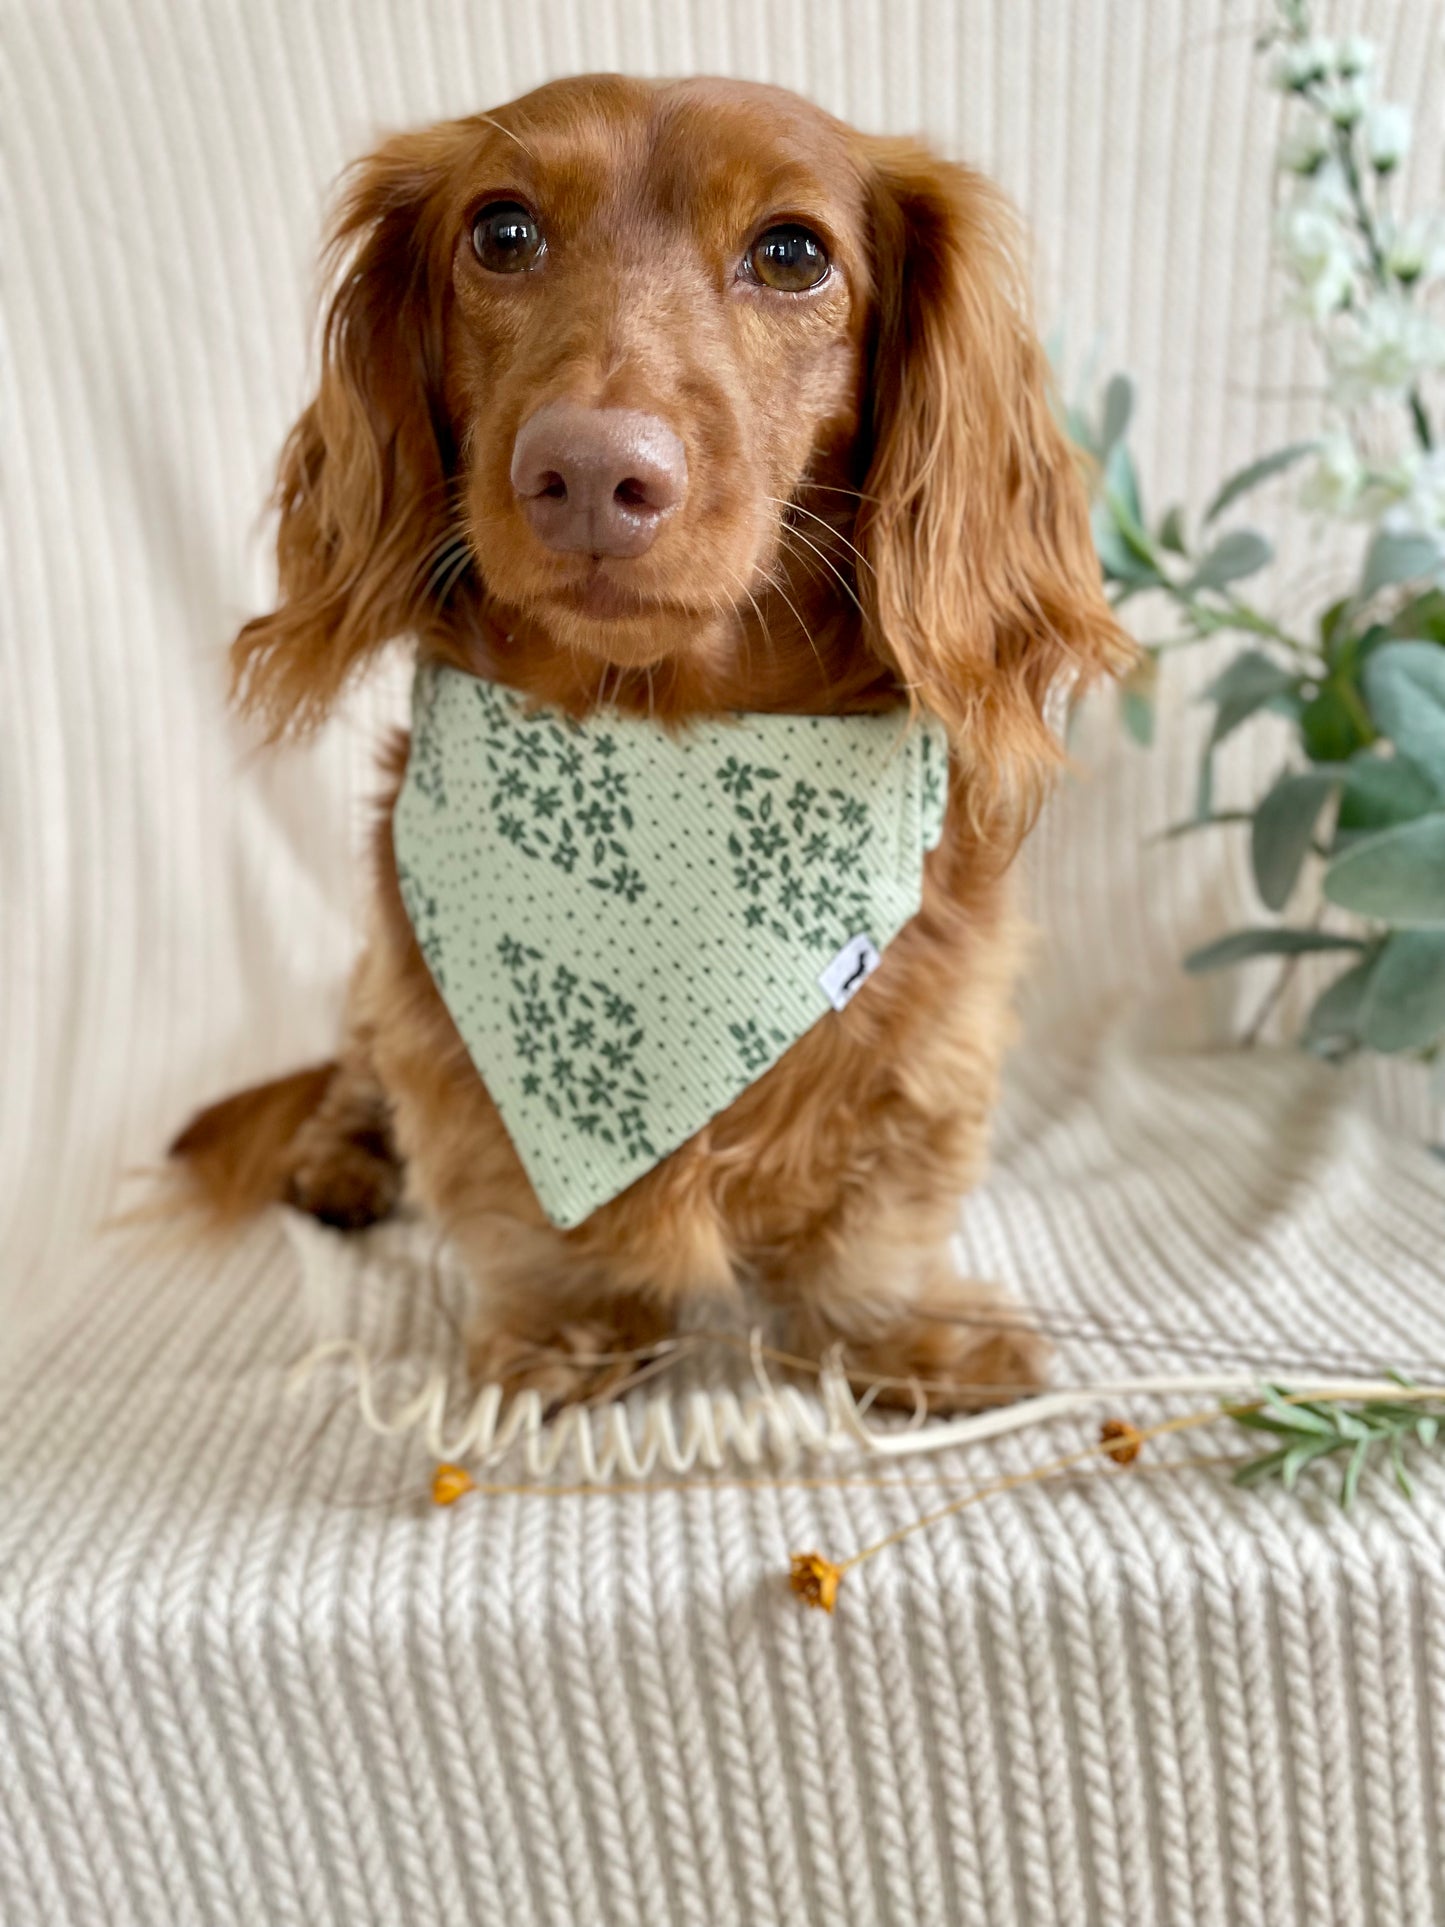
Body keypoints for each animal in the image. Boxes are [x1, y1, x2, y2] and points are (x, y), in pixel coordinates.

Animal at [172, 75, 1132, 1410]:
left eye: (790, 253)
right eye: (501, 232)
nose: (585, 472)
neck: (661, 731)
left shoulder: (932, 1032)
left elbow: (870, 1221)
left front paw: (901, 1336)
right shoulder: (439, 1021)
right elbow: (506, 1189)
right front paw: (572, 1327)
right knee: (354, 1071)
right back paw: (341, 1161)